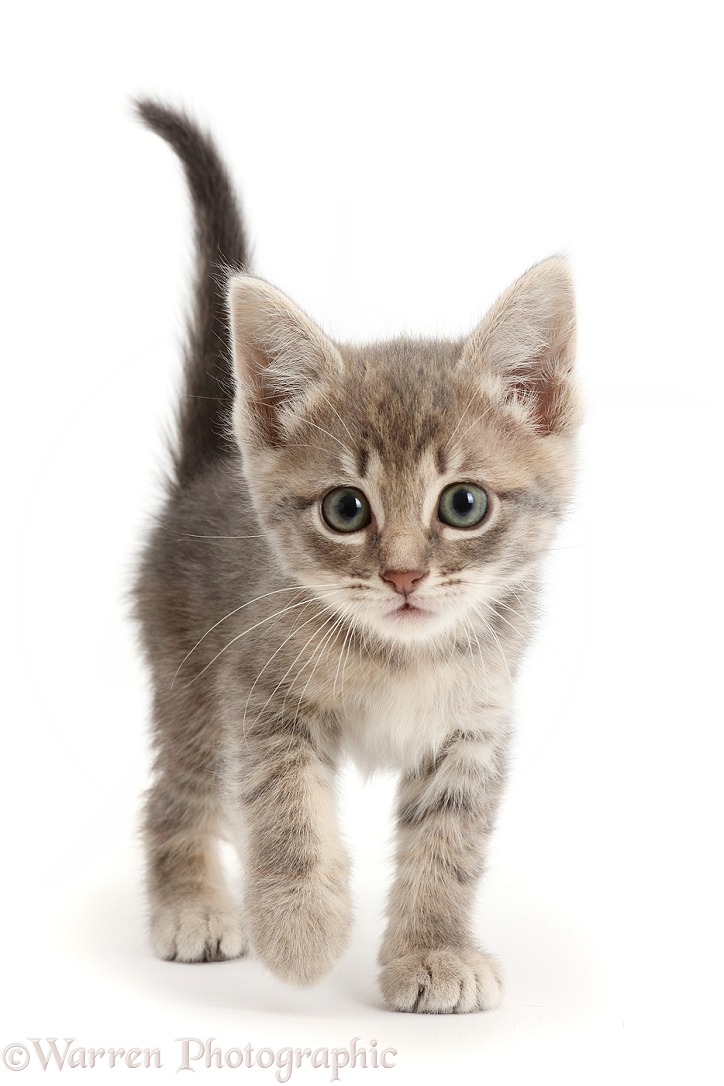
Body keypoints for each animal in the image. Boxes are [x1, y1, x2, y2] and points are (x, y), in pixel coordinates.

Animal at [132, 97, 581, 1012]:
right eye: (347, 509)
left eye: (464, 504)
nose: (404, 575)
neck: (399, 656)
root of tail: (205, 473)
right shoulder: (259, 692)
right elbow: (287, 812)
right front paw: (301, 929)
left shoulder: (476, 724)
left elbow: (448, 848)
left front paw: (433, 953)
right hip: (188, 680)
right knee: (180, 793)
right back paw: (193, 903)